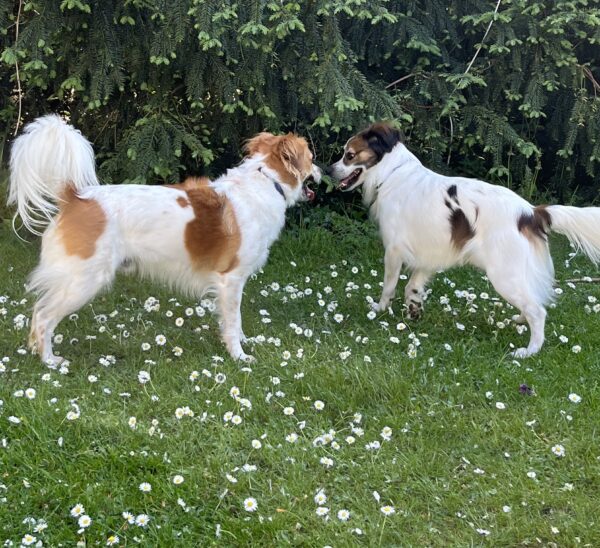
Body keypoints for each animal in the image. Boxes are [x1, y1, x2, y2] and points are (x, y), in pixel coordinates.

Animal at [9, 114, 322, 364]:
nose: (322, 170)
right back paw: (49, 361)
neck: (266, 181)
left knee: (37, 312)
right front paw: (239, 356)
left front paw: (244, 342)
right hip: (84, 280)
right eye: (311, 157)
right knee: (44, 317)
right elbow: (233, 321)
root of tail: (75, 198)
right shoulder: (230, 280)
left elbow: (237, 322)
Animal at [328, 122, 600, 358]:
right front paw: (414, 309)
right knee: (532, 302)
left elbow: (389, 286)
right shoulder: (429, 254)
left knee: (538, 311)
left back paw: (529, 350)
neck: (392, 174)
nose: (329, 170)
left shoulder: (394, 251)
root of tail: (531, 213)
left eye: (349, 155)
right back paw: (519, 320)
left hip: (504, 276)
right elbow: (412, 286)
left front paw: (380, 309)